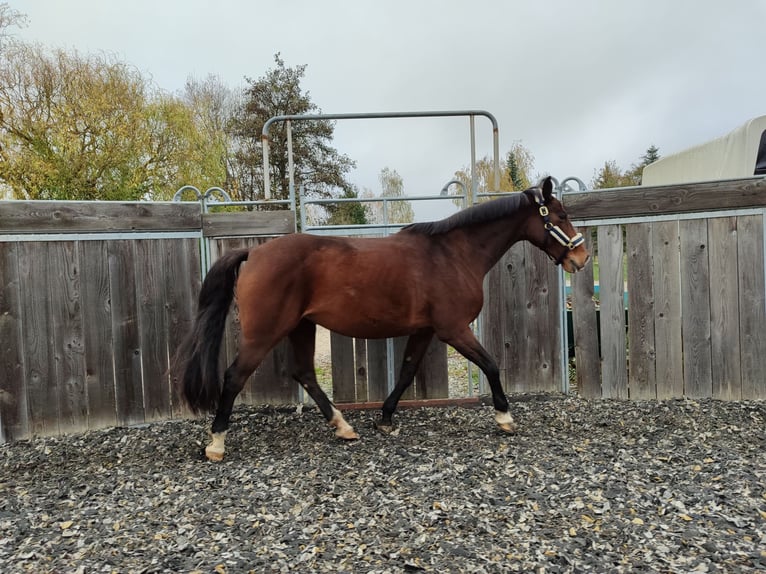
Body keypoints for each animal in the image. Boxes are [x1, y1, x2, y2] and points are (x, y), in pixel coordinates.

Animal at [176, 178, 592, 462]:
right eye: (561, 216)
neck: (452, 254)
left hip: (301, 327)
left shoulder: (425, 330)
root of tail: (255, 254)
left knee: (304, 373)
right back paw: (216, 443)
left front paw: (386, 418)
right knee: (235, 376)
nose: (582, 258)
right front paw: (504, 417)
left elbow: (406, 371)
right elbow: (490, 364)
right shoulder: (453, 329)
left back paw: (343, 427)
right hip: (265, 332)